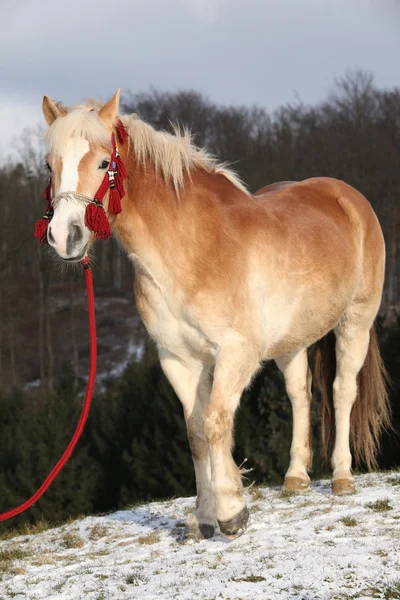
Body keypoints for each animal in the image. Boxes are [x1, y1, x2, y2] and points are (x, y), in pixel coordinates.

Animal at [41, 91, 390, 540]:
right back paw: (296, 477)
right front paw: (204, 517)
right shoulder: (178, 358)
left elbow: (215, 422)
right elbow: (195, 433)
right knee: (301, 393)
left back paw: (342, 477)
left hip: (355, 323)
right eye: (50, 166)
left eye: (104, 164)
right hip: (292, 340)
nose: (64, 237)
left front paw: (231, 513)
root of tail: (346, 196)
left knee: (342, 391)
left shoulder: (236, 353)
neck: (193, 248)